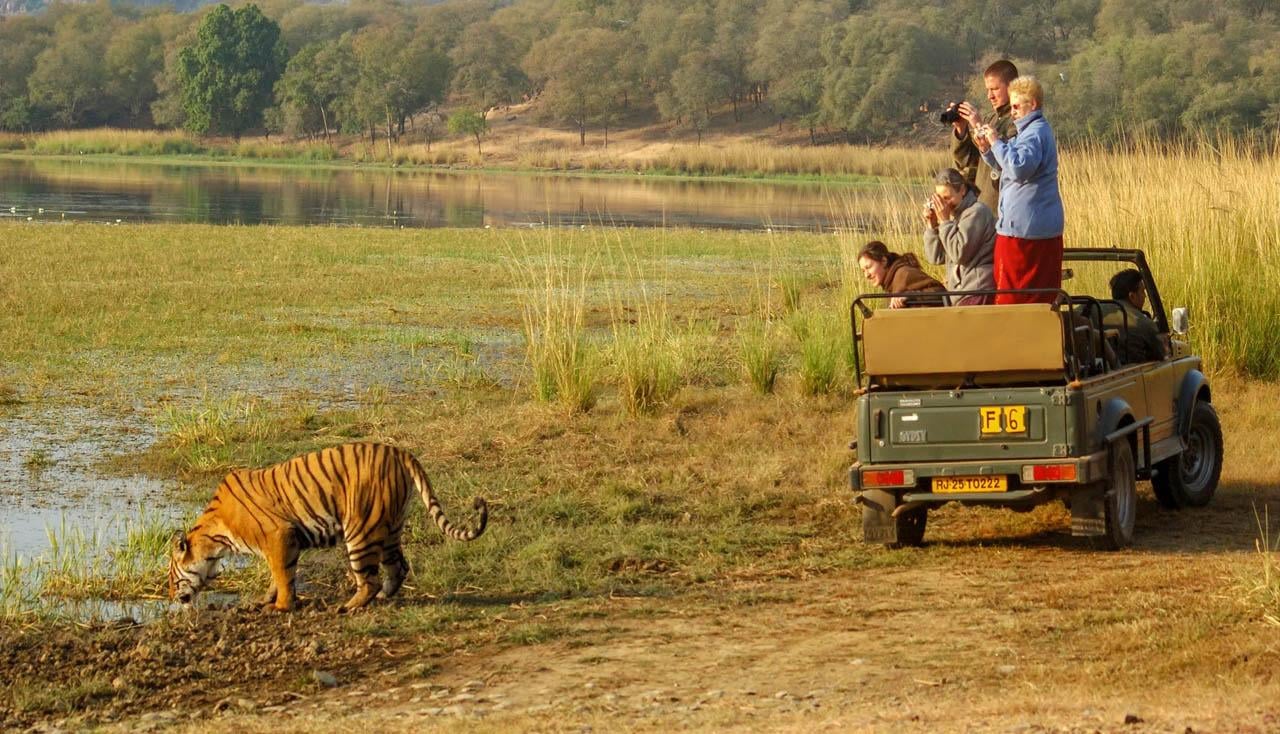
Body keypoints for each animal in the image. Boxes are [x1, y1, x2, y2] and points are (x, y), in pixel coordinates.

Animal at [168, 441, 487, 612]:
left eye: (172, 578)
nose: (172, 598)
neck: (214, 537)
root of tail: (399, 452)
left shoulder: (279, 537)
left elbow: (282, 576)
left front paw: (281, 607)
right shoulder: (283, 544)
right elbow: (278, 576)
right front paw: (265, 601)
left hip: (361, 531)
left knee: (369, 579)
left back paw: (348, 606)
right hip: (390, 528)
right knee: (398, 567)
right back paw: (383, 597)